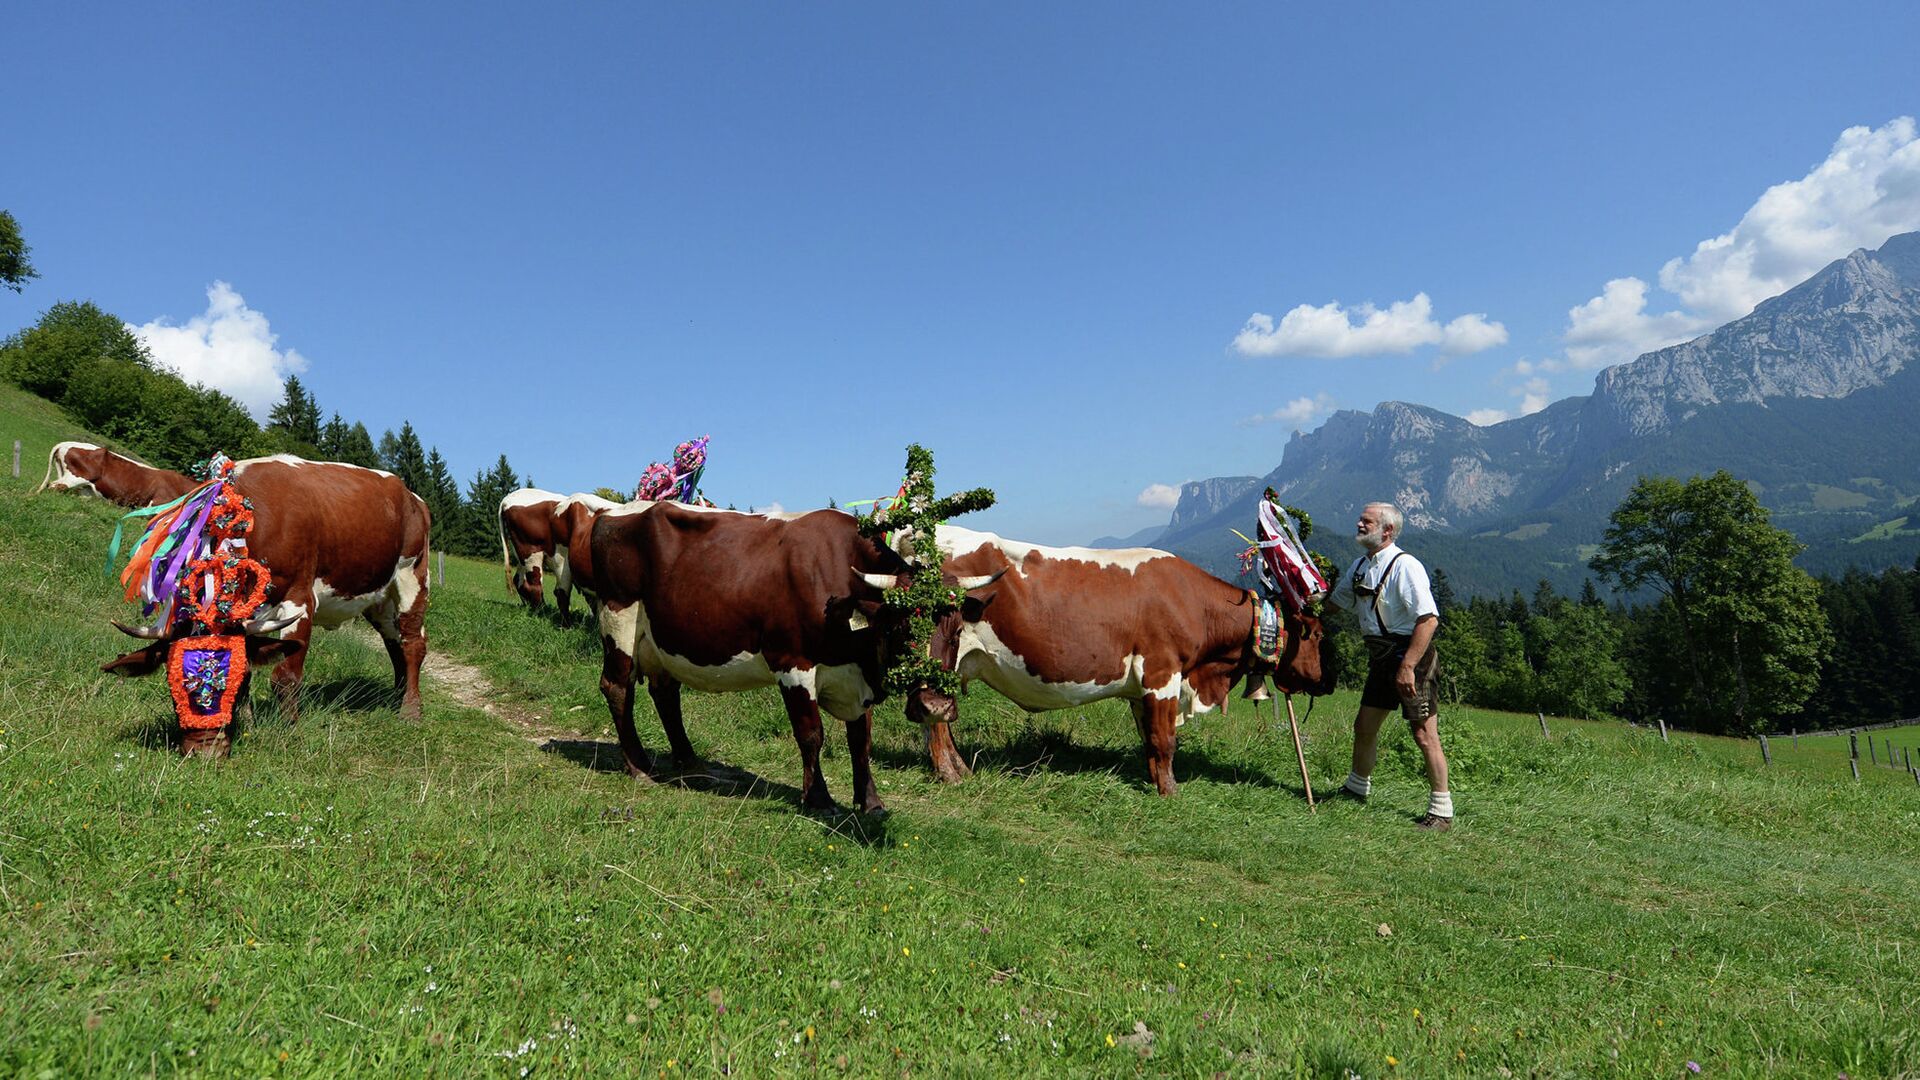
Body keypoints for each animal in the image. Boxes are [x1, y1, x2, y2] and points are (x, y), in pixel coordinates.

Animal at [101, 449, 432, 726]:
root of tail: (411, 495)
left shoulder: (299, 599)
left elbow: (285, 675)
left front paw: (288, 727)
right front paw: (246, 721)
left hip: (412, 575)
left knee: (413, 642)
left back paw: (411, 710)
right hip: (377, 596)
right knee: (394, 642)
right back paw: (398, 695)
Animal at [591, 499, 990, 810]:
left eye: (956, 632)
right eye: (900, 629)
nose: (935, 707)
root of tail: (613, 513)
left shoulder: (857, 675)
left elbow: (861, 739)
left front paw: (870, 802)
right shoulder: (793, 664)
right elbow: (811, 733)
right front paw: (819, 798)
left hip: (663, 640)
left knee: (665, 693)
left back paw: (690, 761)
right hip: (619, 620)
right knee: (617, 687)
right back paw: (639, 766)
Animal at [913, 526, 1336, 791]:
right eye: (1317, 634)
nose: (1327, 681)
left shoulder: (1142, 687)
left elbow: (1149, 737)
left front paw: (1154, 780)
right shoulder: (1162, 671)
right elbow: (1165, 740)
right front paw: (1170, 792)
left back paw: (961, 770)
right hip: (941, 655)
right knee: (935, 716)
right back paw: (951, 775)